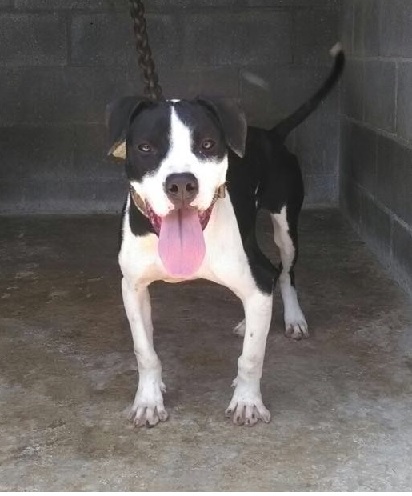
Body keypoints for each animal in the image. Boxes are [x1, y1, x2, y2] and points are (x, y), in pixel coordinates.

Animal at [106, 45, 344, 428]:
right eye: (144, 148)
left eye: (207, 144)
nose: (181, 184)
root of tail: (271, 134)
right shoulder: (133, 287)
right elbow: (145, 351)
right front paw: (148, 400)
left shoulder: (255, 275)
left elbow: (251, 357)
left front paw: (247, 401)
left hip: (285, 226)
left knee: (283, 271)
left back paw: (292, 317)